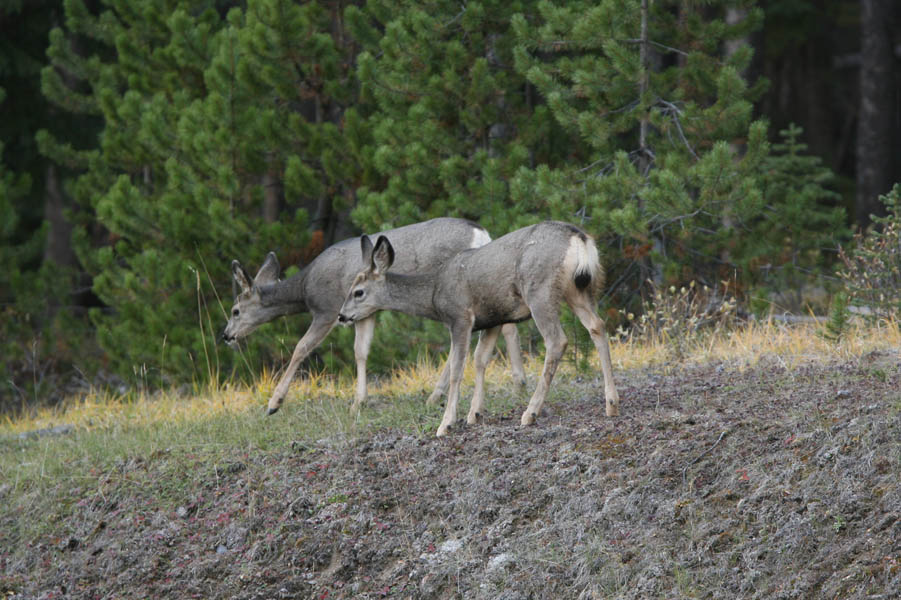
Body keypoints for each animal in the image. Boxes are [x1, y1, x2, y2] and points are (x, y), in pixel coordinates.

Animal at [221, 218, 524, 414]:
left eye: (235, 311)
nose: (225, 335)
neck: (305, 288)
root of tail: (482, 234)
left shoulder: (328, 309)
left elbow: (301, 348)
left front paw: (274, 403)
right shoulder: (365, 313)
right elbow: (361, 351)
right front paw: (360, 401)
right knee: (505, 325)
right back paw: (517, 379)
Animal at [338, 220, 620, 436]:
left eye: (358, 292)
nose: (342, 316)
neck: (434, 293)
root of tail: (579, 239)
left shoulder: (460, 317)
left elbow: (457, 368)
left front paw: (446, 424)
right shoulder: (493, 318)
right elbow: (479, 359)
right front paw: (475, 413)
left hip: (539, 290)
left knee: (557, 341)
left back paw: (530, 412)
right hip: (578, 290)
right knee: (597, 326)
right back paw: (611, 403)